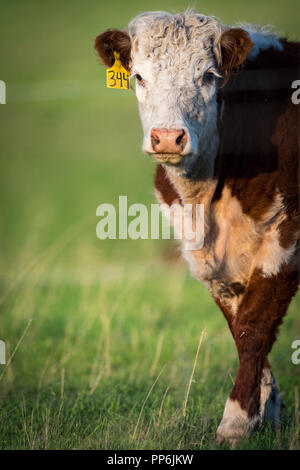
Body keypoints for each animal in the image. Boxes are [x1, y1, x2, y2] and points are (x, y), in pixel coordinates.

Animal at [94, 11, 300, 444]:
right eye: (138, 76)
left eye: (208, 75)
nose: (168, 137)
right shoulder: (208, 257)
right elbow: (239, 326)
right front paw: (267, 412)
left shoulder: (287, 238)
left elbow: (254, 325)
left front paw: (237, 421)